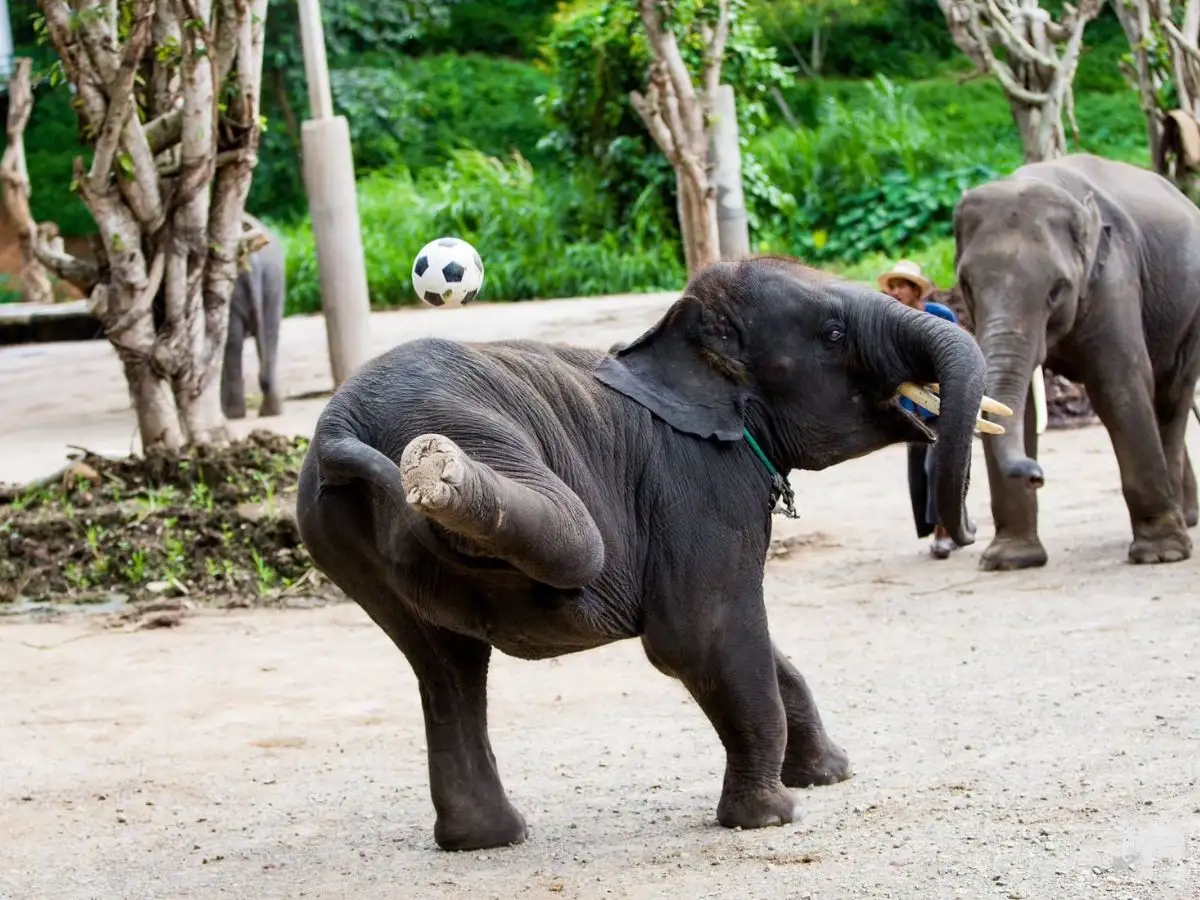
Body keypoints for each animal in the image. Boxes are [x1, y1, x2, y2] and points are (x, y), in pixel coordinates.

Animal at [295, 255, 1007, 851]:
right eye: (832, 336)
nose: (961, 536)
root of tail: (339, 424)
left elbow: (748, 647)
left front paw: (827, 777)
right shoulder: (700, 486)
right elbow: (700, 637)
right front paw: (773, 817)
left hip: (344, 545)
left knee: (446, 666)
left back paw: (485, 841)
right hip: (465, 437)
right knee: (569, 553)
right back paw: (444, 479)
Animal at [953, 153, 1200, 571]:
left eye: (1057, 289)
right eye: (966, 285)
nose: (1037, 475)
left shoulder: (1114, 277)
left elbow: (1118, 387)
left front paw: (1159, 555)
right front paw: (1009, 560)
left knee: (1170, 396)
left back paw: (1178, 530)